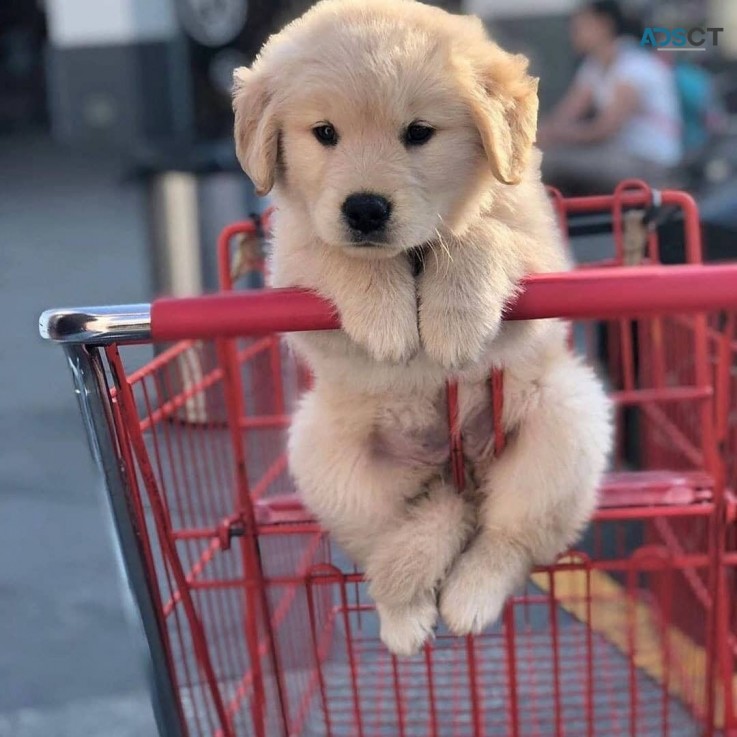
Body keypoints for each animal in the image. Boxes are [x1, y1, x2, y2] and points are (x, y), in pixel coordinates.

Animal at [234, 0, 608, 656]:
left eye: (418, 133)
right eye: (324, 133)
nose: (364, 209)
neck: (411, 253)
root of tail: (456, 473)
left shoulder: (543, 258)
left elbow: (481, 233)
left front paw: (453, 317)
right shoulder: (293, 272)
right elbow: (338, 254)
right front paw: (387, 317)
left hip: (567, 423)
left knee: (509, 538)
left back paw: (471, 596)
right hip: (327, 457)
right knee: (390, 544)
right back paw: (404, 617)